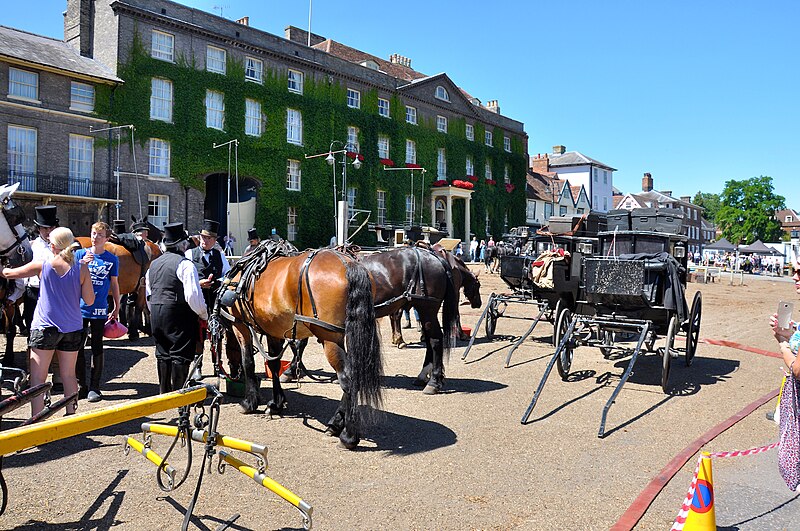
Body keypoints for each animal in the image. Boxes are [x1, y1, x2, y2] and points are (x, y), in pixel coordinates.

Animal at [214, 243, 382, 450]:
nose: (231, 373)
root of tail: (348, 263)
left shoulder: (240, 325)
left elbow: (248, 363)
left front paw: (249, 402)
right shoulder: (273, 330)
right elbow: (274, 365)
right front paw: (276, 403)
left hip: (330, 338)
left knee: (347, 380)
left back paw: (348, 435)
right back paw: (335, 423)